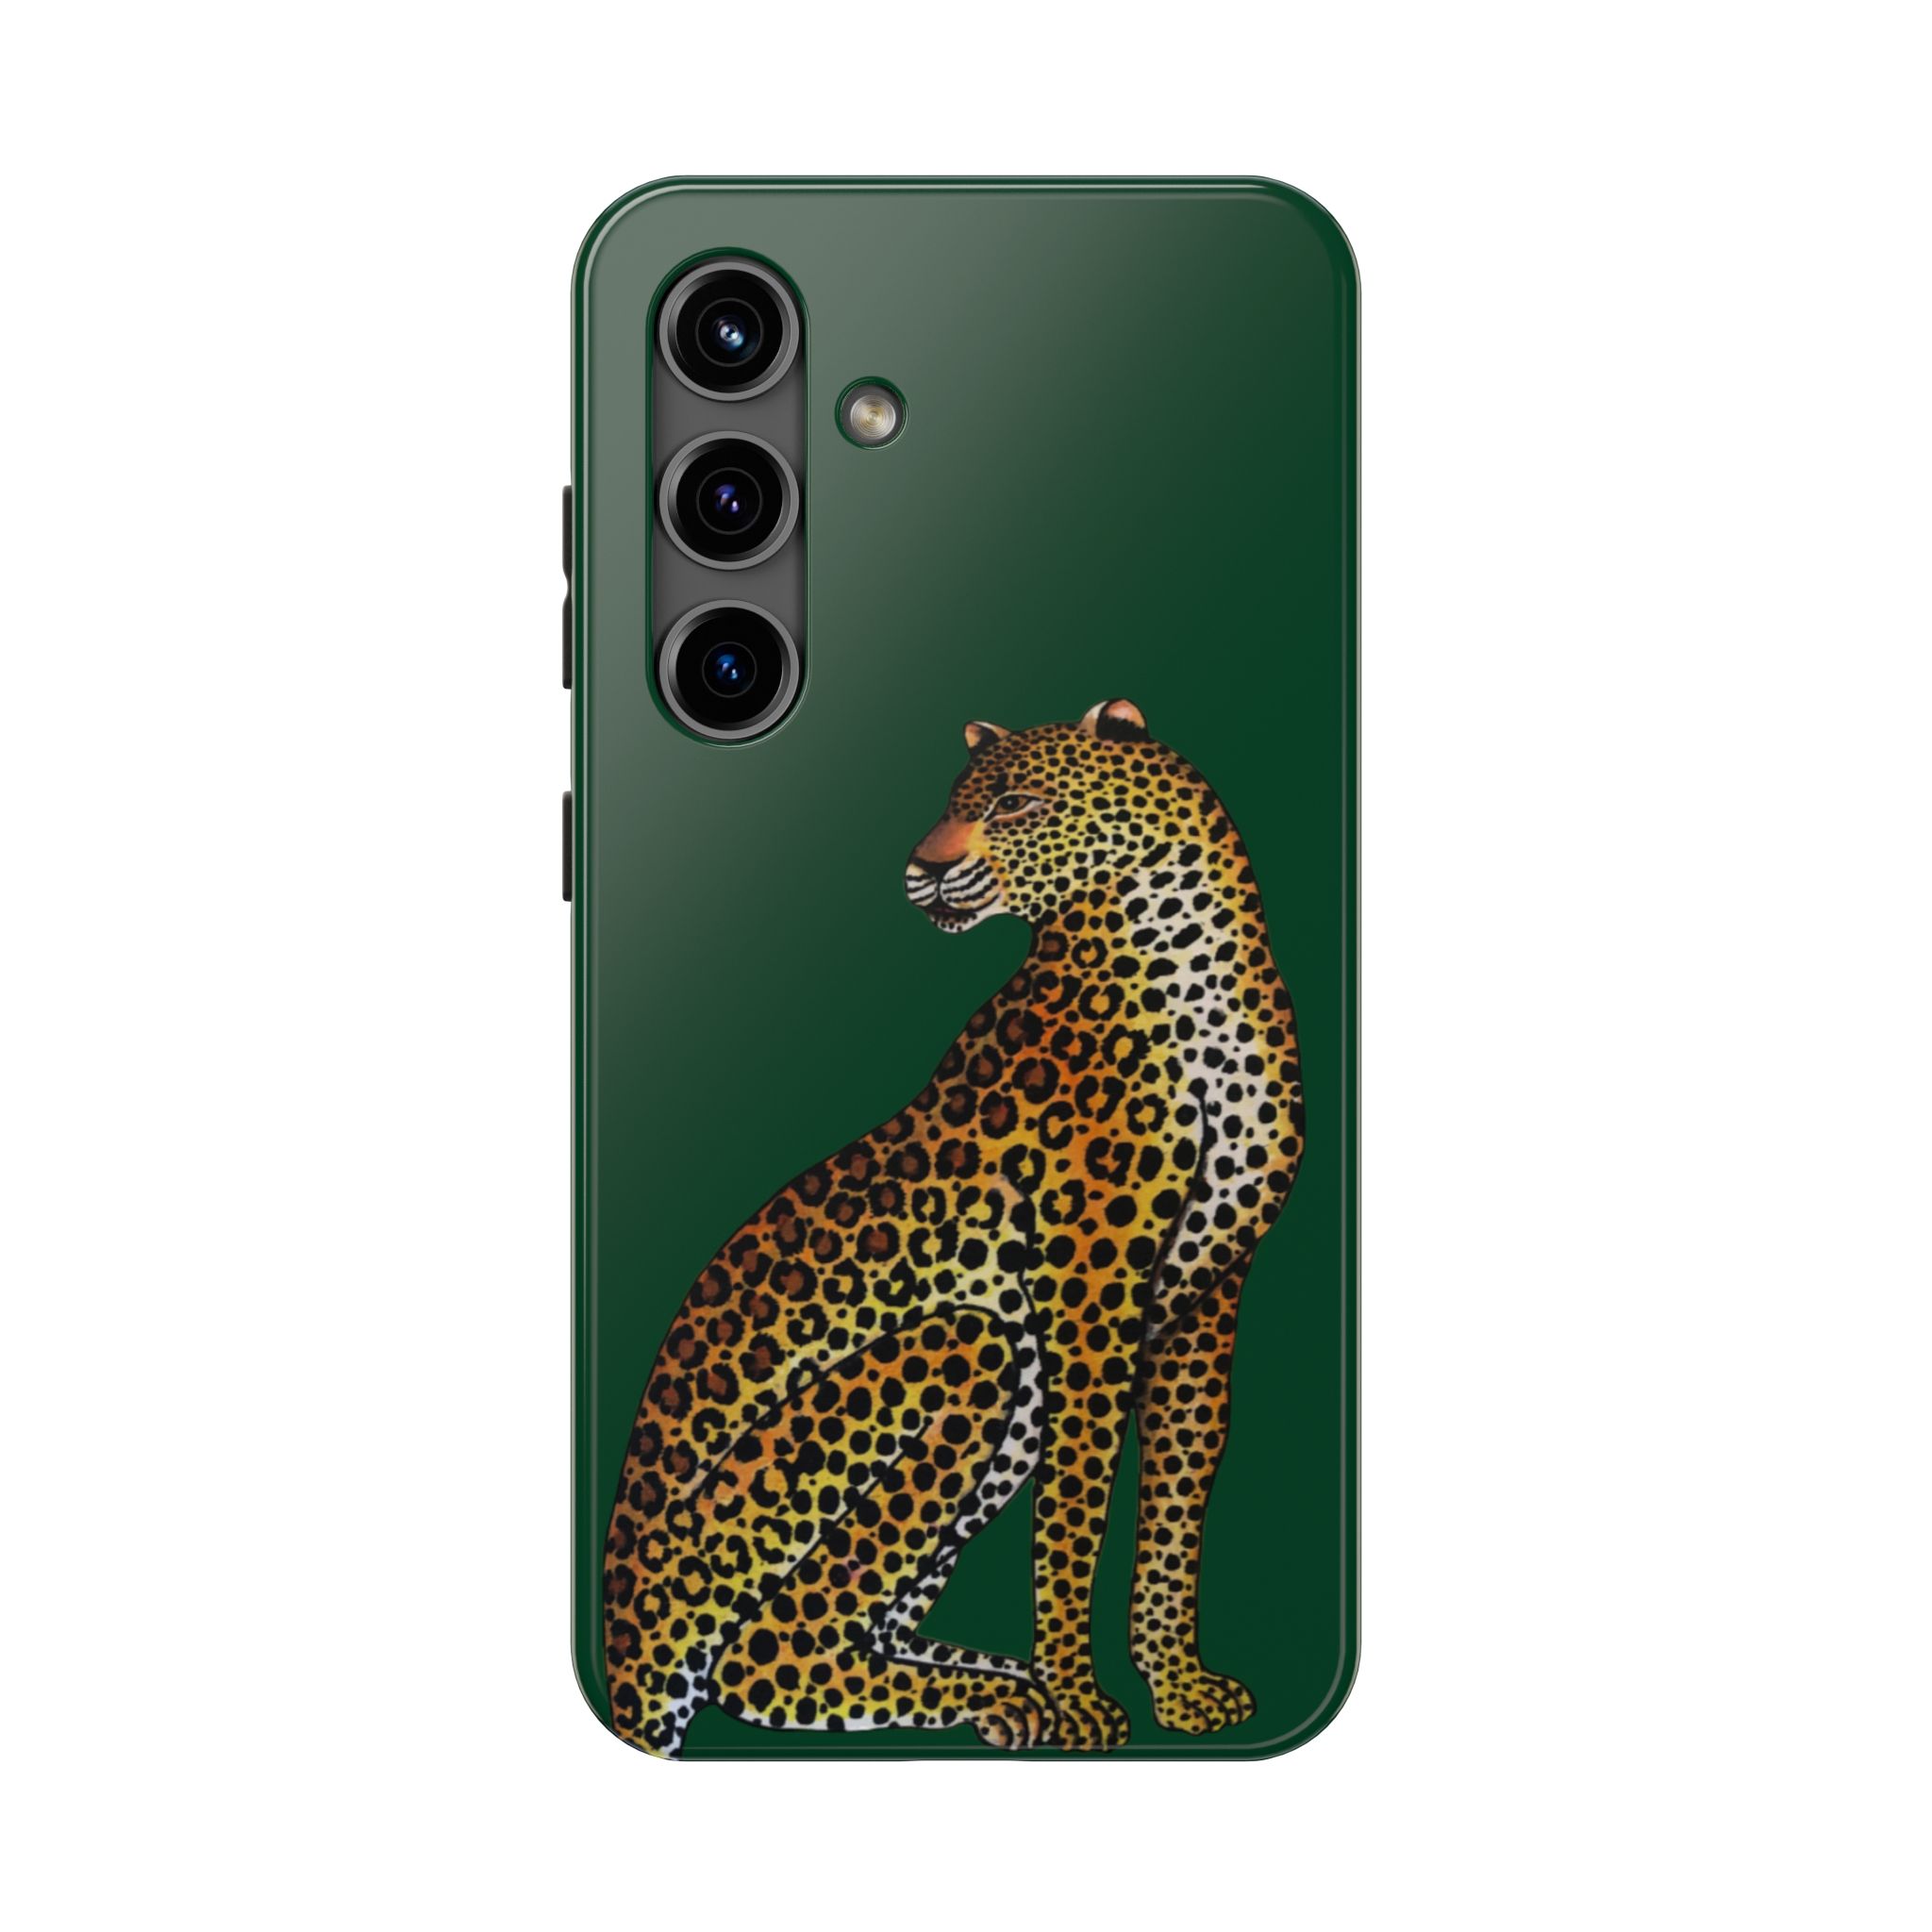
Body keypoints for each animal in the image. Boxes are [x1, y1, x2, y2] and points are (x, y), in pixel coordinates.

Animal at [602, 698, 1305, 1755]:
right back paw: (1009, 1696)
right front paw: (1081, 1701)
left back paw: (995, 1682)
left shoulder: (1205, 1299)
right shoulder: (1088, 1299)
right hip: (967, 1352)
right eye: (951, 804)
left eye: (1014, 803)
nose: (920, 868)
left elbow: (1176, 1505)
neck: (1192, 958)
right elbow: (1073, 1516)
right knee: (768, 1646)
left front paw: (1177, 1688)